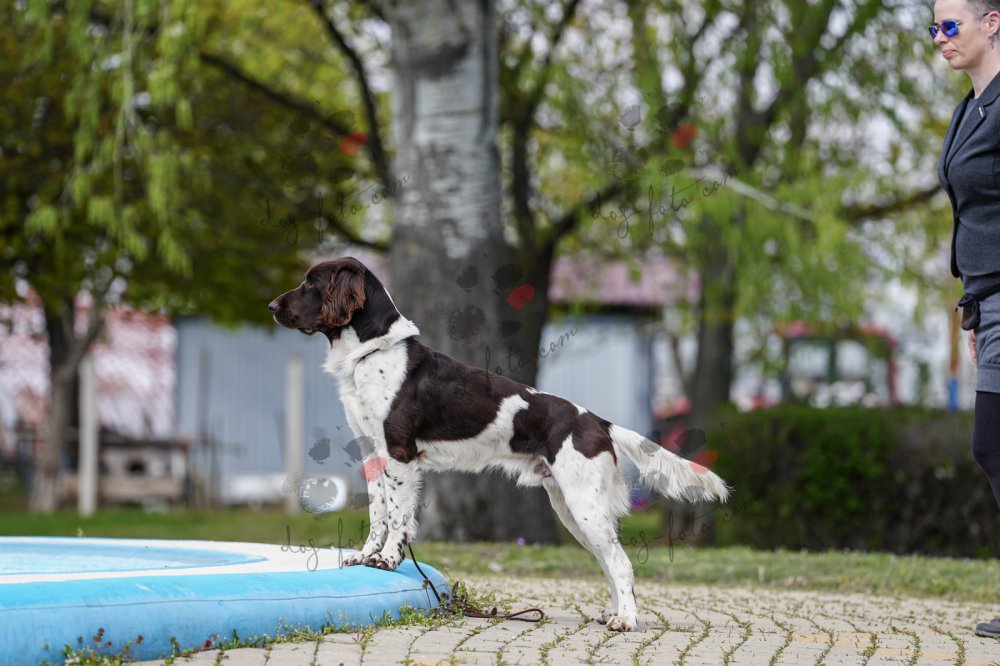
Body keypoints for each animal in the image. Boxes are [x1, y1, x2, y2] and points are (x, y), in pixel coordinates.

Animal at [268, 257, 729, 632]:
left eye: (311, 283)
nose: (272, 306)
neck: (373, 353)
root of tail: (598, 421)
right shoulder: (372, 454)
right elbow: (378, 514)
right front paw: (365, 557)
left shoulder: (399, 454)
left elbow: (398, 518)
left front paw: (387, 561)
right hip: (572, 508)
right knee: (608, 560)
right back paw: (612, 613)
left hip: (583, 503)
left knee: (621, 562)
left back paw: (627, 621)